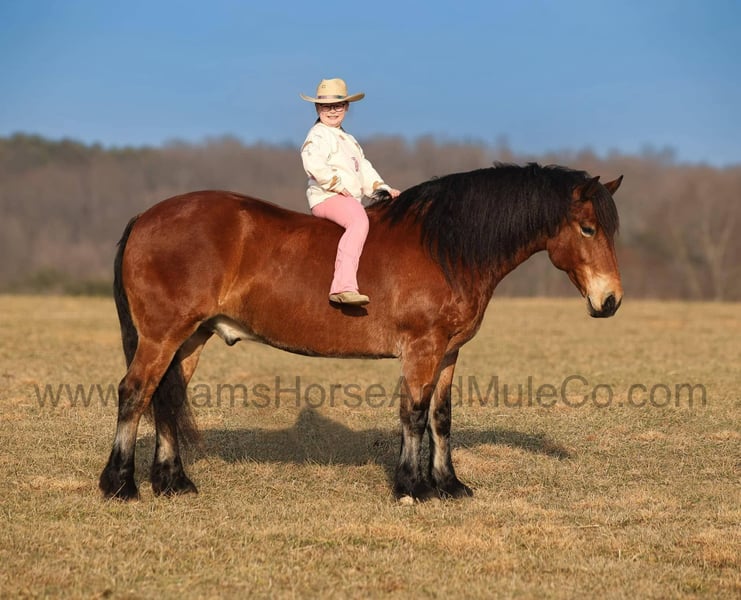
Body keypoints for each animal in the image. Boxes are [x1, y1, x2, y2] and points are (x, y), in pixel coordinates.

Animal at [99, 162, 623, 502]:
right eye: (588, 228)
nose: (611, 301)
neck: (445, 247)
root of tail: (146, 217)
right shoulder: (422, 350)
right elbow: (413, 415)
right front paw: (412, 488)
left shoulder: (448, 353)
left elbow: (441, 417)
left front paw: (449, 486)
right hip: (163, 335)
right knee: (135, 392)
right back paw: (120, 485)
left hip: (189, 338)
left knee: (166, 396)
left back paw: (173, 483)